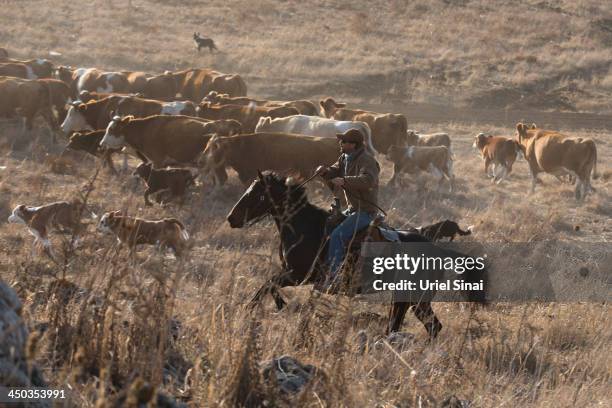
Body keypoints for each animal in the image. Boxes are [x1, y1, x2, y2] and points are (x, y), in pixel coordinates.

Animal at [226, 170, 488, 338]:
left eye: (256, 193)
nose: (231, 218)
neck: (305, 226)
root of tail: (439, 250)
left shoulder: (298, 275)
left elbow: (266, 285)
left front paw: (263, 307)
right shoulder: (294, 275)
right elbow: (269, 285)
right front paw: (278, 304)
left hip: (416, 297)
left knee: (430, 326)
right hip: (406, 298)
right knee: (405, 325)